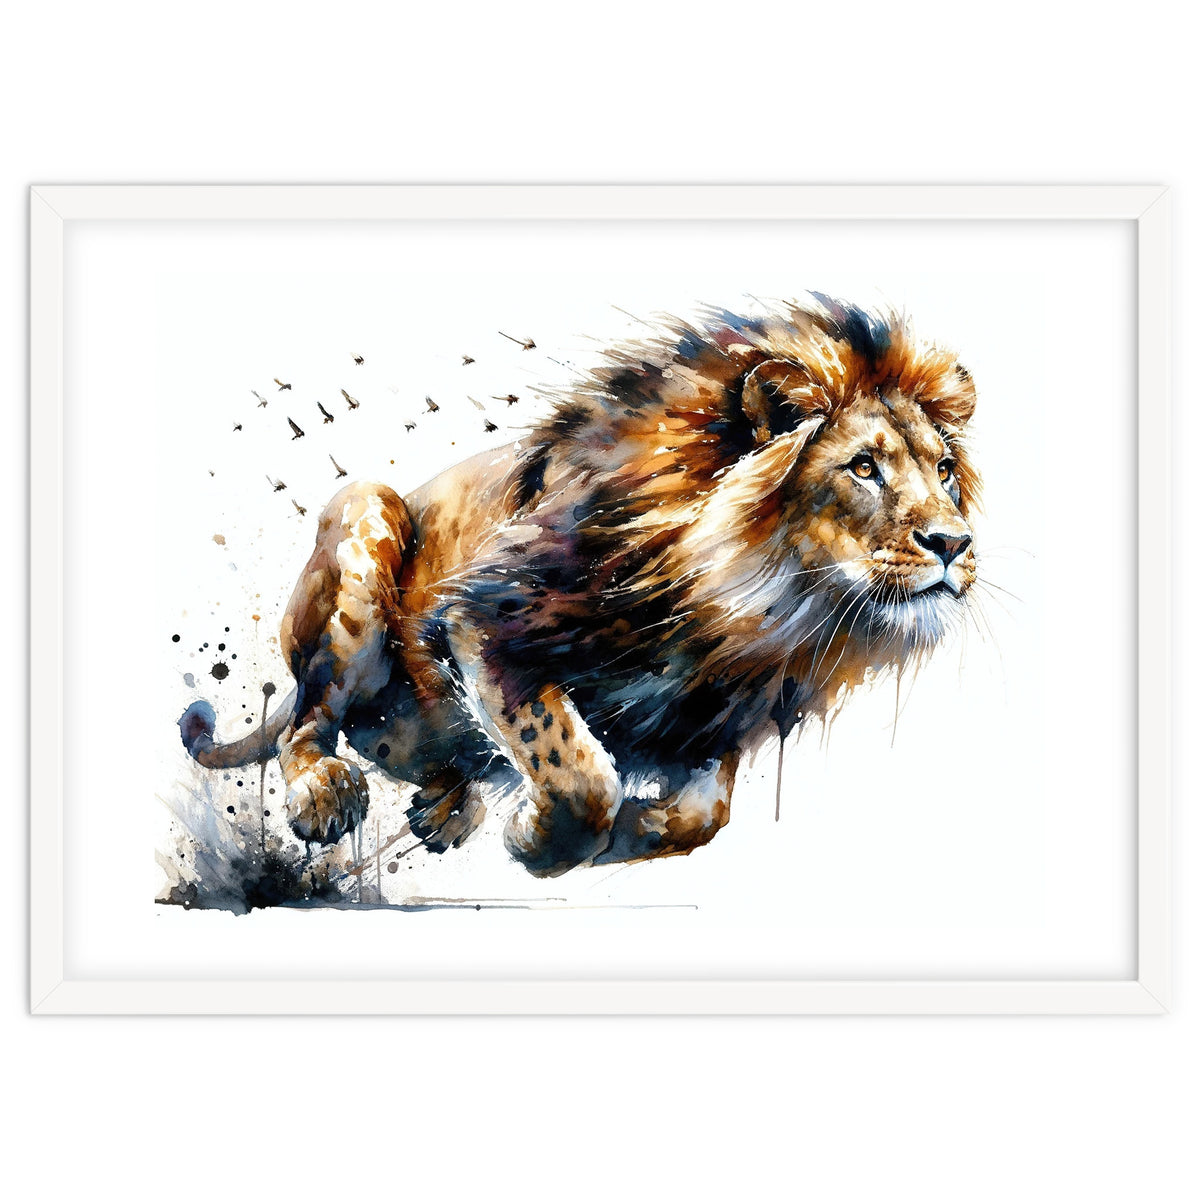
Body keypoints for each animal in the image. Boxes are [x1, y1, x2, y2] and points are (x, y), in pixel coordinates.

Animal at [179, 295, 980, 877]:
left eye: (944, 470)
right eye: (863, 467)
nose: (954, 544)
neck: (752, 610)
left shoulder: (709, 711)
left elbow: (705, 816)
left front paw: (634, 829)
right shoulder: (483, 617)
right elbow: (576, 771)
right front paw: (539, 839)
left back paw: (445, 807)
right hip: (365, 511)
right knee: (310, 722)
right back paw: (328, 794)